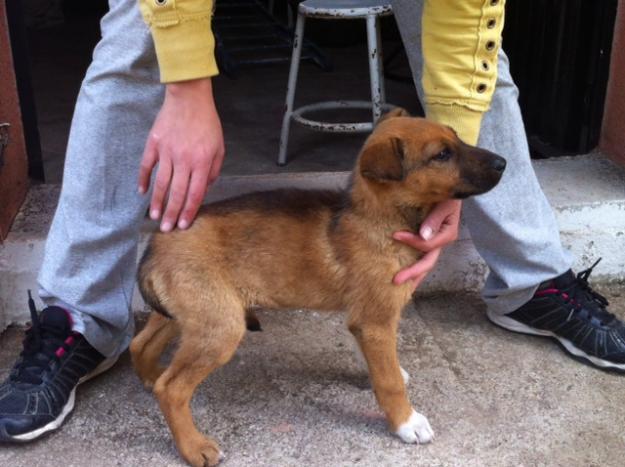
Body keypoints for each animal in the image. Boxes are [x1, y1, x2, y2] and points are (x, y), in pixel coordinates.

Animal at [129, 111, 504, 466]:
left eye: (456, 137)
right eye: (442, 155)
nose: (503, 163)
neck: (378, 217)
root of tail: (156, 244)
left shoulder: (363, 320)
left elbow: (377, 363)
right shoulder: (376, 320)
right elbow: (389, 382)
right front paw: (406, 423)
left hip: (190, 313)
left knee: (141, 345)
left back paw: (150, 379)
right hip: (220, 325)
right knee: (172, 389)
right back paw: (194, 446)